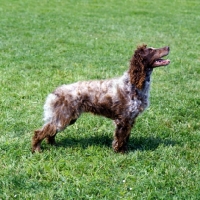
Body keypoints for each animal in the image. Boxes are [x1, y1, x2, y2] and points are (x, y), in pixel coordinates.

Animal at [32, 44, 170, 152]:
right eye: (151, 50)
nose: (168, 47)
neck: (133, 83)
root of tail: (55, 92)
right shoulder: (123, 119)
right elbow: (120, 138)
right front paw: (120, 152)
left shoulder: (130, 119)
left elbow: (125, 138)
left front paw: (125, 150)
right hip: (63, 117)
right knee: (40, 132)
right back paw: (37, 149)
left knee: (50, 132)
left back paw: (53, 145)